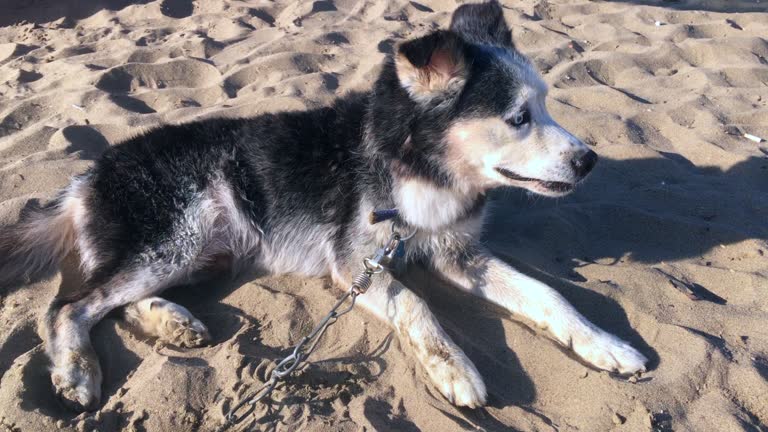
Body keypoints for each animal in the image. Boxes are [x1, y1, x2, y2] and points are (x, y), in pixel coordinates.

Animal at [1, 0, 648, 412]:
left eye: (546, 104)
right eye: (518, 118)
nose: (589, 160)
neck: (410, 164)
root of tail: (86, 176)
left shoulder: (459, 253)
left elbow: (548, 294)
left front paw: (606, 345)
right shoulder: (356, 263)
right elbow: (418, 306)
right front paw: (455, 368)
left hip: (202, 251)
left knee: (113, 302)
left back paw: (173, 323)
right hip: (179, 235)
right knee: (69, 306)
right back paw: (77, 370)